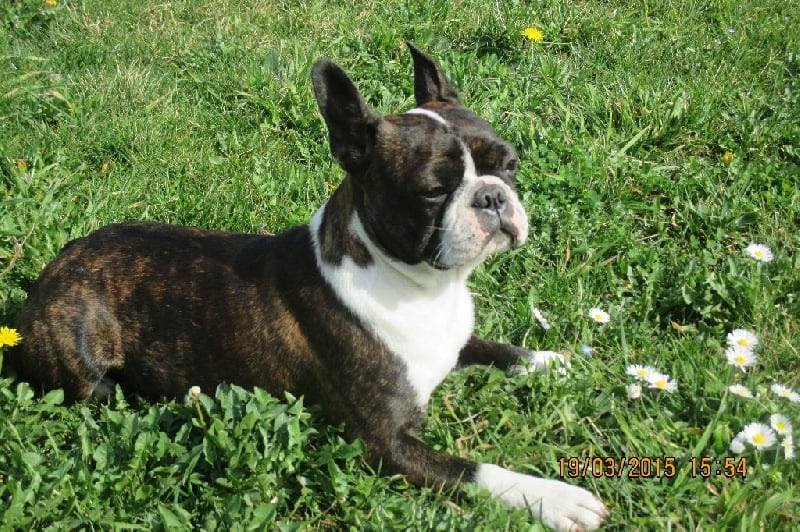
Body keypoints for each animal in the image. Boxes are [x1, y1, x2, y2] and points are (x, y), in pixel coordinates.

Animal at [11, 43, 608, 531]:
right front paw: (554, 498)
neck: (425, 287)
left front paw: (553, 360)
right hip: (83, 348)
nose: (492, 197)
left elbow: (500, 349)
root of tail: (58, 262)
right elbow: (477, 470)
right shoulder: (386, 444)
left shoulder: (454, 342)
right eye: (433, 192)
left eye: (509, 164)